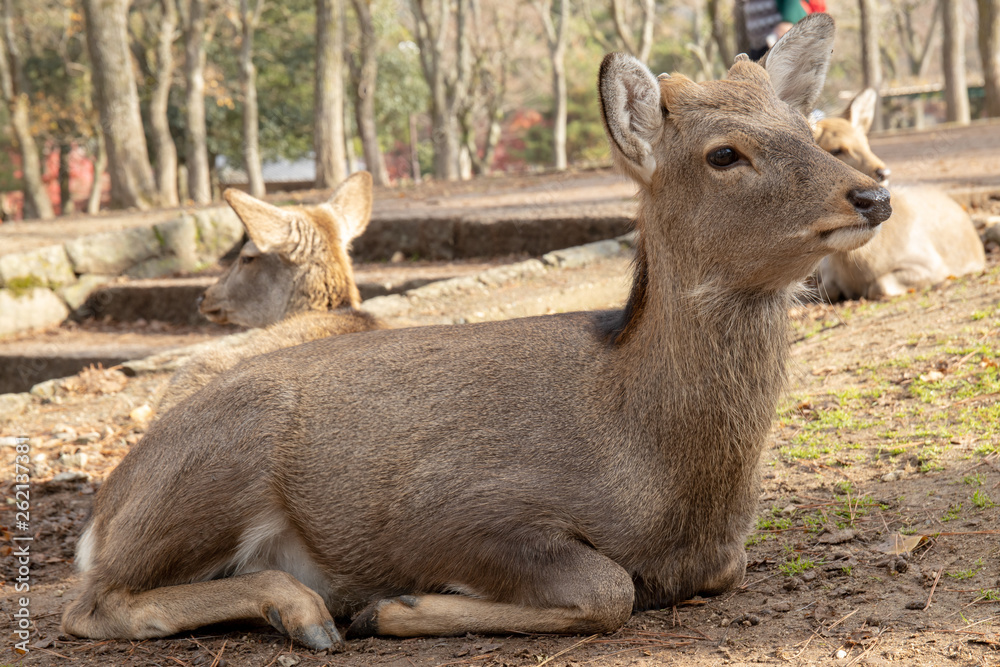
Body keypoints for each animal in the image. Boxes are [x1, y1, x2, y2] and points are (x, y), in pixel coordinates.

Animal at [816, 88, 988, 300]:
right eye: (836, 149)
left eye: (865, 143)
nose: (883, 172)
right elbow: (827, 290)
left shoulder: (932, 265)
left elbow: (878, 286)